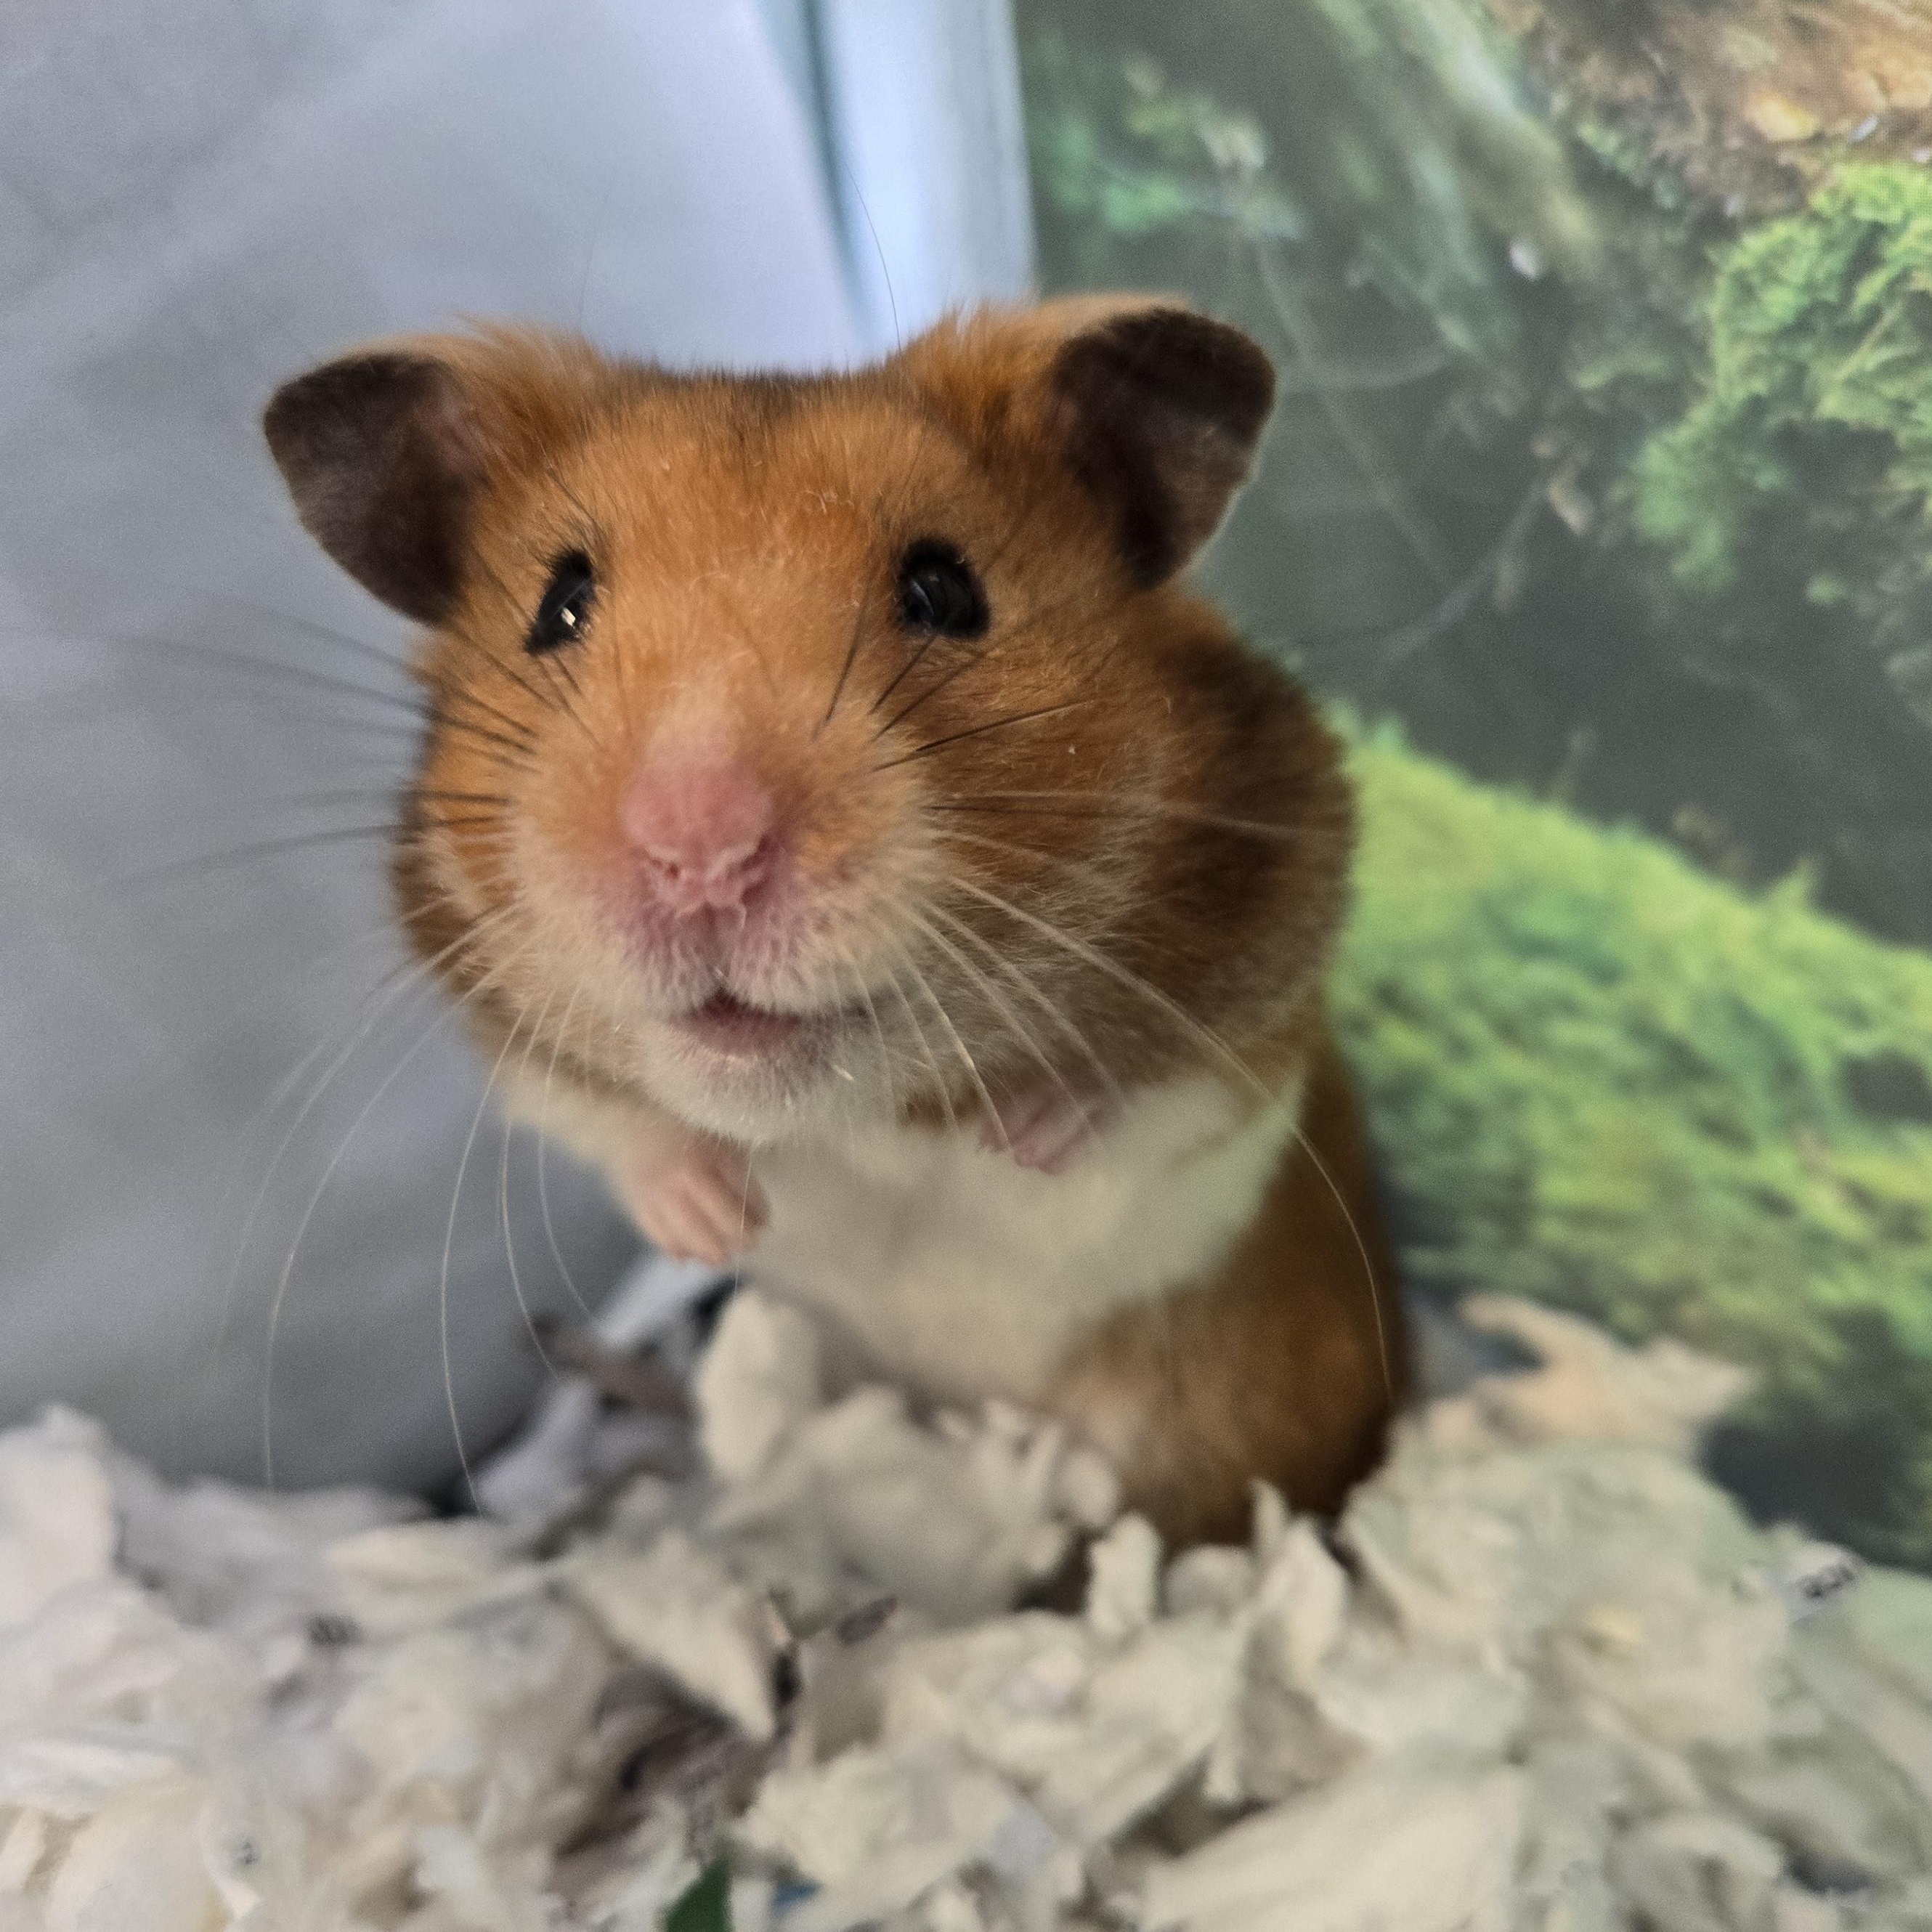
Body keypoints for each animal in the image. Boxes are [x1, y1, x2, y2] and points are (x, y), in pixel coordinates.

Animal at [263, 297, 1408, 1544]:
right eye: (558, 606)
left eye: (947, 592)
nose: (700, 851)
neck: (864, 1112)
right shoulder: (491, 1001)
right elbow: (610, 1120)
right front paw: (714, 1218)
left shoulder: (1281, 935)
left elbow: (1164, 1080)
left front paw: (1024, 1131)